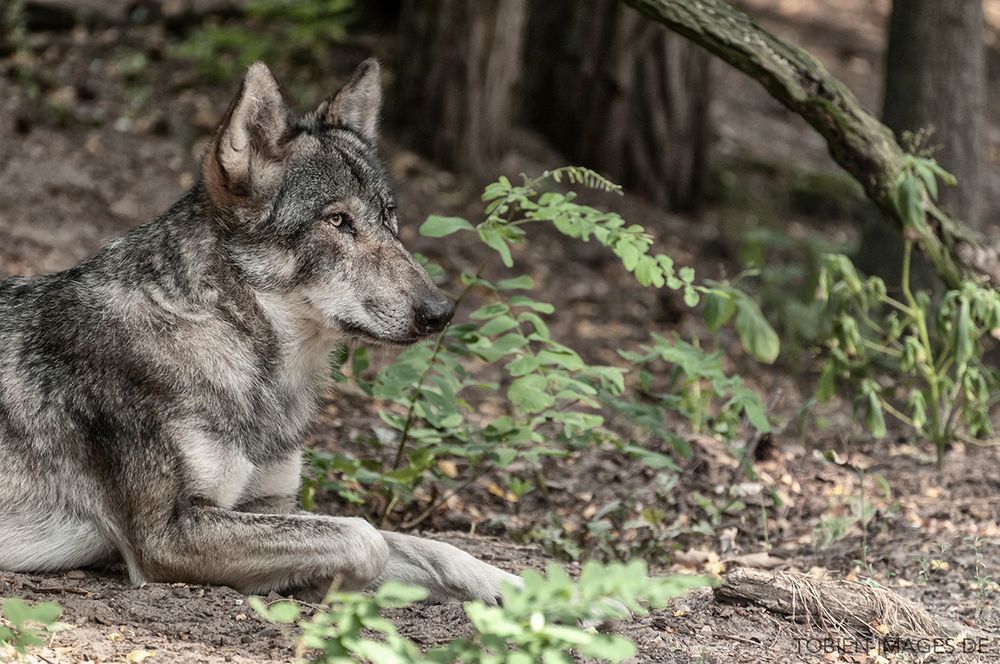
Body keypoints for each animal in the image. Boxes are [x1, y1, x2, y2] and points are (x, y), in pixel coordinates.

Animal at [1, 59, 524, 604]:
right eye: (338, 220)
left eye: (389, 215)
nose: (440, 312)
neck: (244, 352)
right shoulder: (168, 536)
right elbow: (366, 537)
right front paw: (327, 586)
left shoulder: (270, 505)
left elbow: (429, 546)